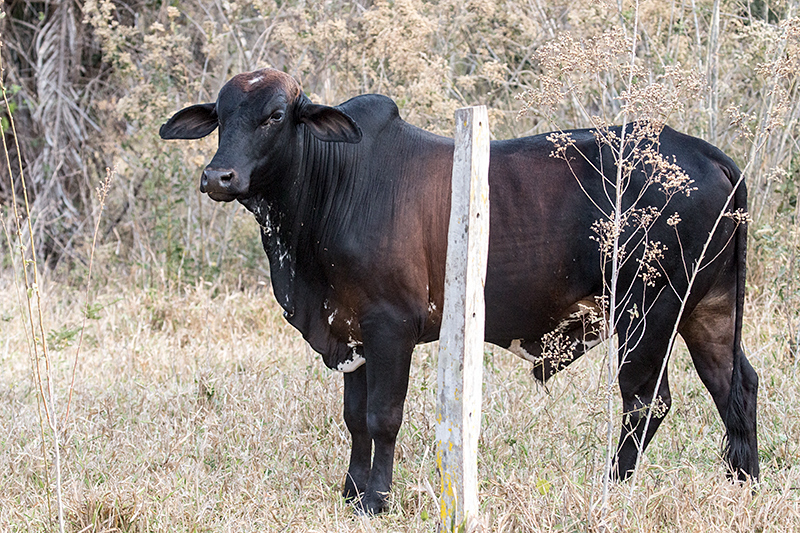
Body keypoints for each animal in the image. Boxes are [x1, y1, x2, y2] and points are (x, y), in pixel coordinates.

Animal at [159, 68, 760, 512]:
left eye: (276, 116)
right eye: (220, 118)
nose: (218, 177)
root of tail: (705, 153)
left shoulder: (390, 327)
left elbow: (382, 416)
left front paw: (376, 499)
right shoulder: (347, 331)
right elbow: (354, 418)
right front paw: (350, 492)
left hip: (648, 309)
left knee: (645, 402)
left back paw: (613, 487)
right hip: (707, 309)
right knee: (736, 386)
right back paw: (746, 483)